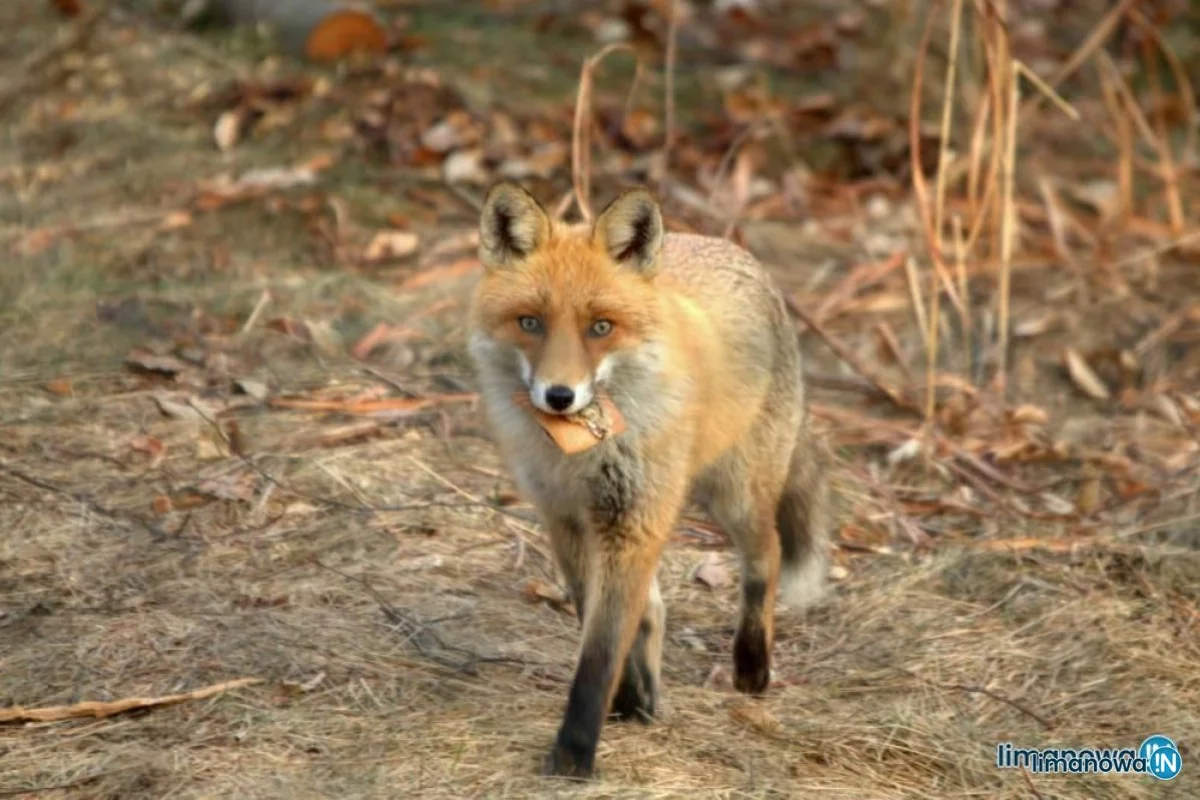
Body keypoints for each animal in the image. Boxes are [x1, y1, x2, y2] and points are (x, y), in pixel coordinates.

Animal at [468, 183, 835, 782]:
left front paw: (575, 755)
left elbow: (599, 653)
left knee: (768, 557)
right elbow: (599, 618)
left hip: (733, 493)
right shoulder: (566, 519)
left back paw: (752, 666)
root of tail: (735, 249)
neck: (582, 453)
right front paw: (628, 702)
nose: (560, 396)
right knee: (657, 607)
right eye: (530, 322)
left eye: (600, 327)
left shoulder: (633, 519)